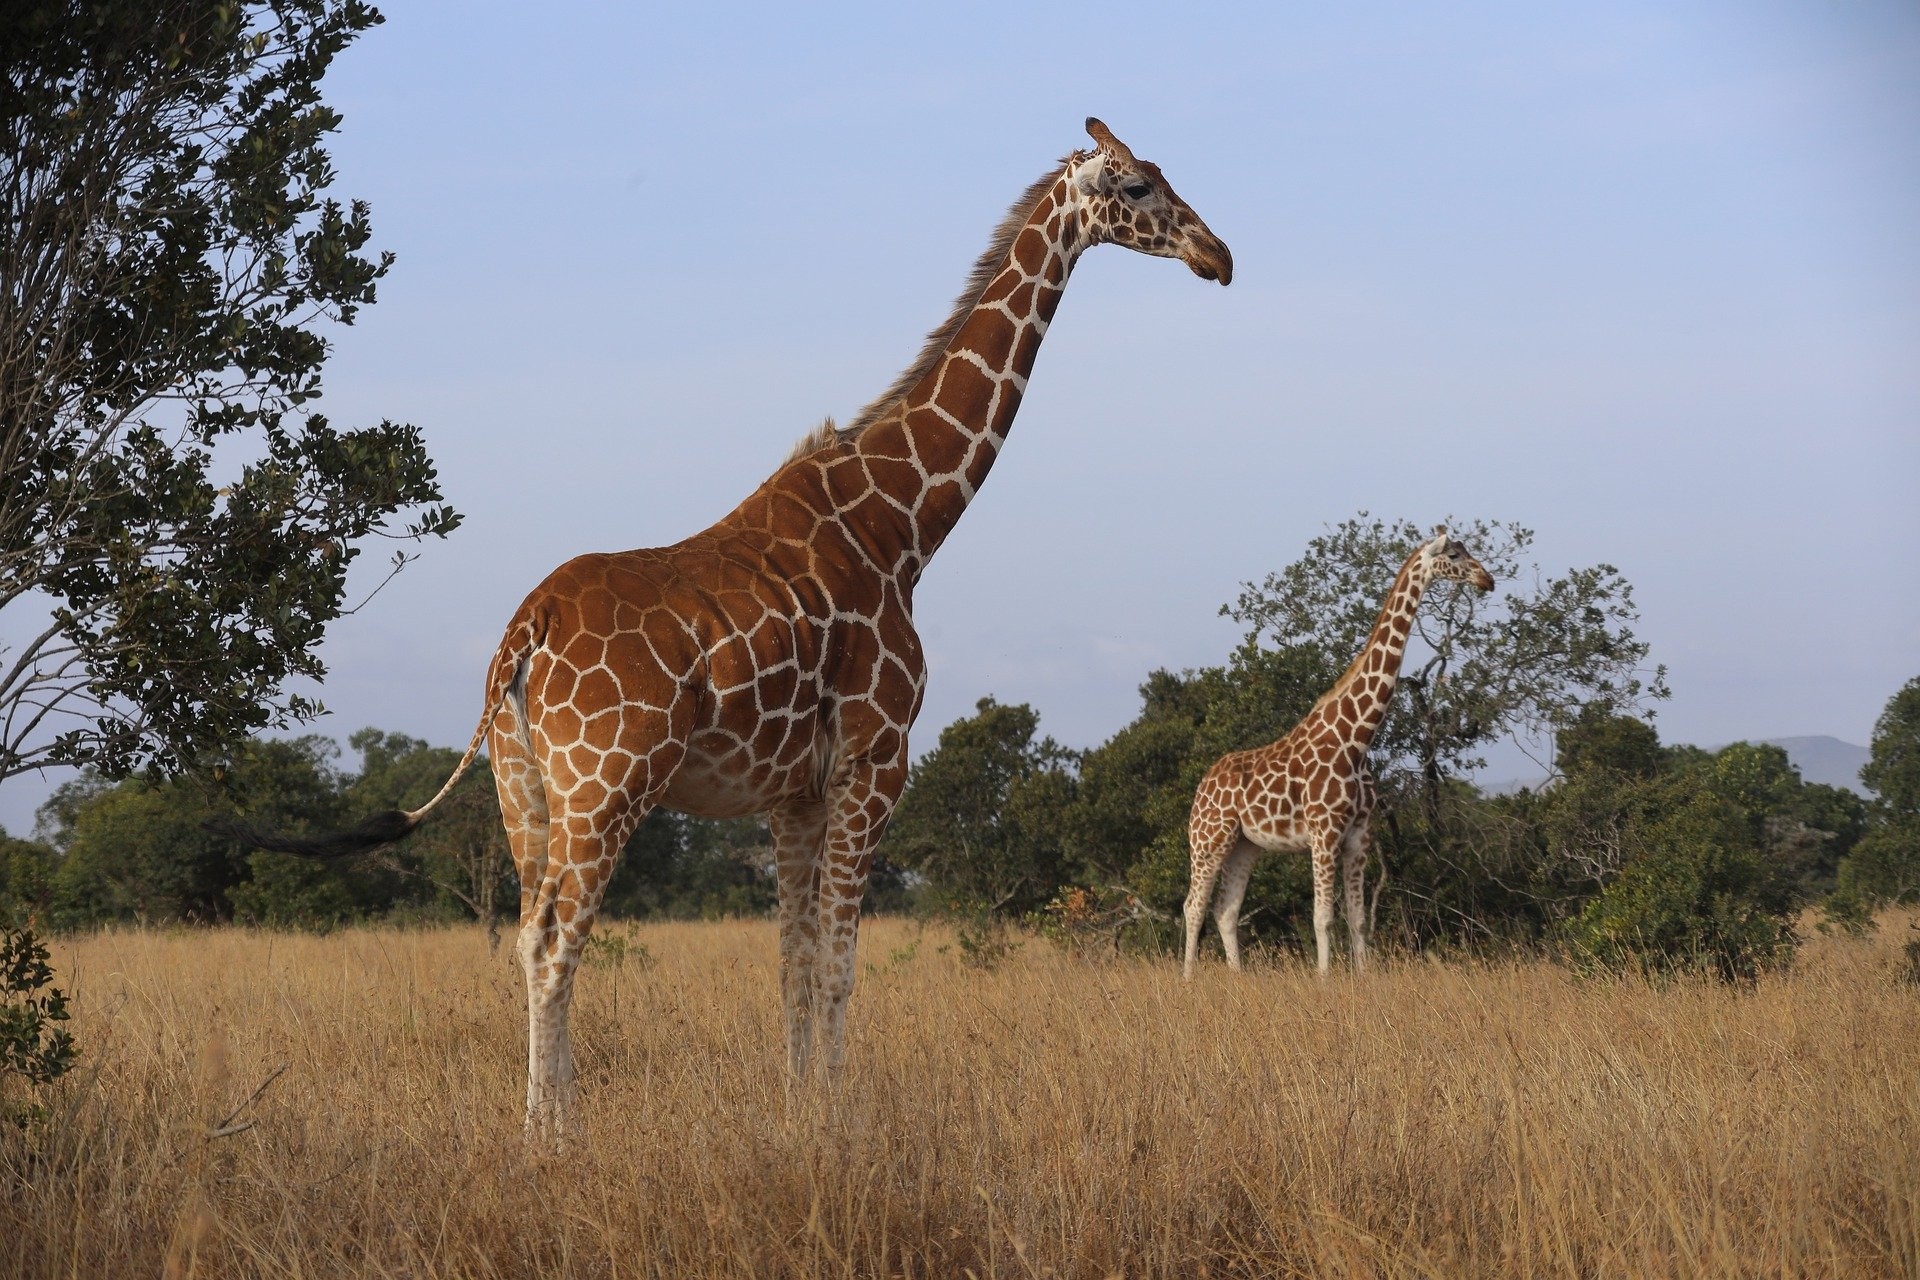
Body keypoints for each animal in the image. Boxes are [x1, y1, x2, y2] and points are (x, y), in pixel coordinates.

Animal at [232, 117, 1228, 1143]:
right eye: (1140, 184)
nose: (1218, 255)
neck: (904, 526)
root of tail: (526, 630)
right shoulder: (877, 760)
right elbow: (839, 966)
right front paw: (838, 1123)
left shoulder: (793, 793)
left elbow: (792, 964)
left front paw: (798, 1112)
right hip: (604, 786)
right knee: (553, 942)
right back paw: (556, 1138)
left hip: (523, 790)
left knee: (524, 934)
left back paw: (544, 1123)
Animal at [1182, 529, 1497, 982]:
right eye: (1454, 555)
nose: (1487, 580)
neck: (1357, 738)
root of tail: (1203, 784)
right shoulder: (1324, 832)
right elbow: (1323, 917)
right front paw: (1324, 981)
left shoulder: (1359, 836)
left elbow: (1358, 919)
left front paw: (1363, 980)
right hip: (1209, 838)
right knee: (1193, 906)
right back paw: (1187, 979)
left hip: (1245, 845)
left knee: (1226, 910)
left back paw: (1238, 980)